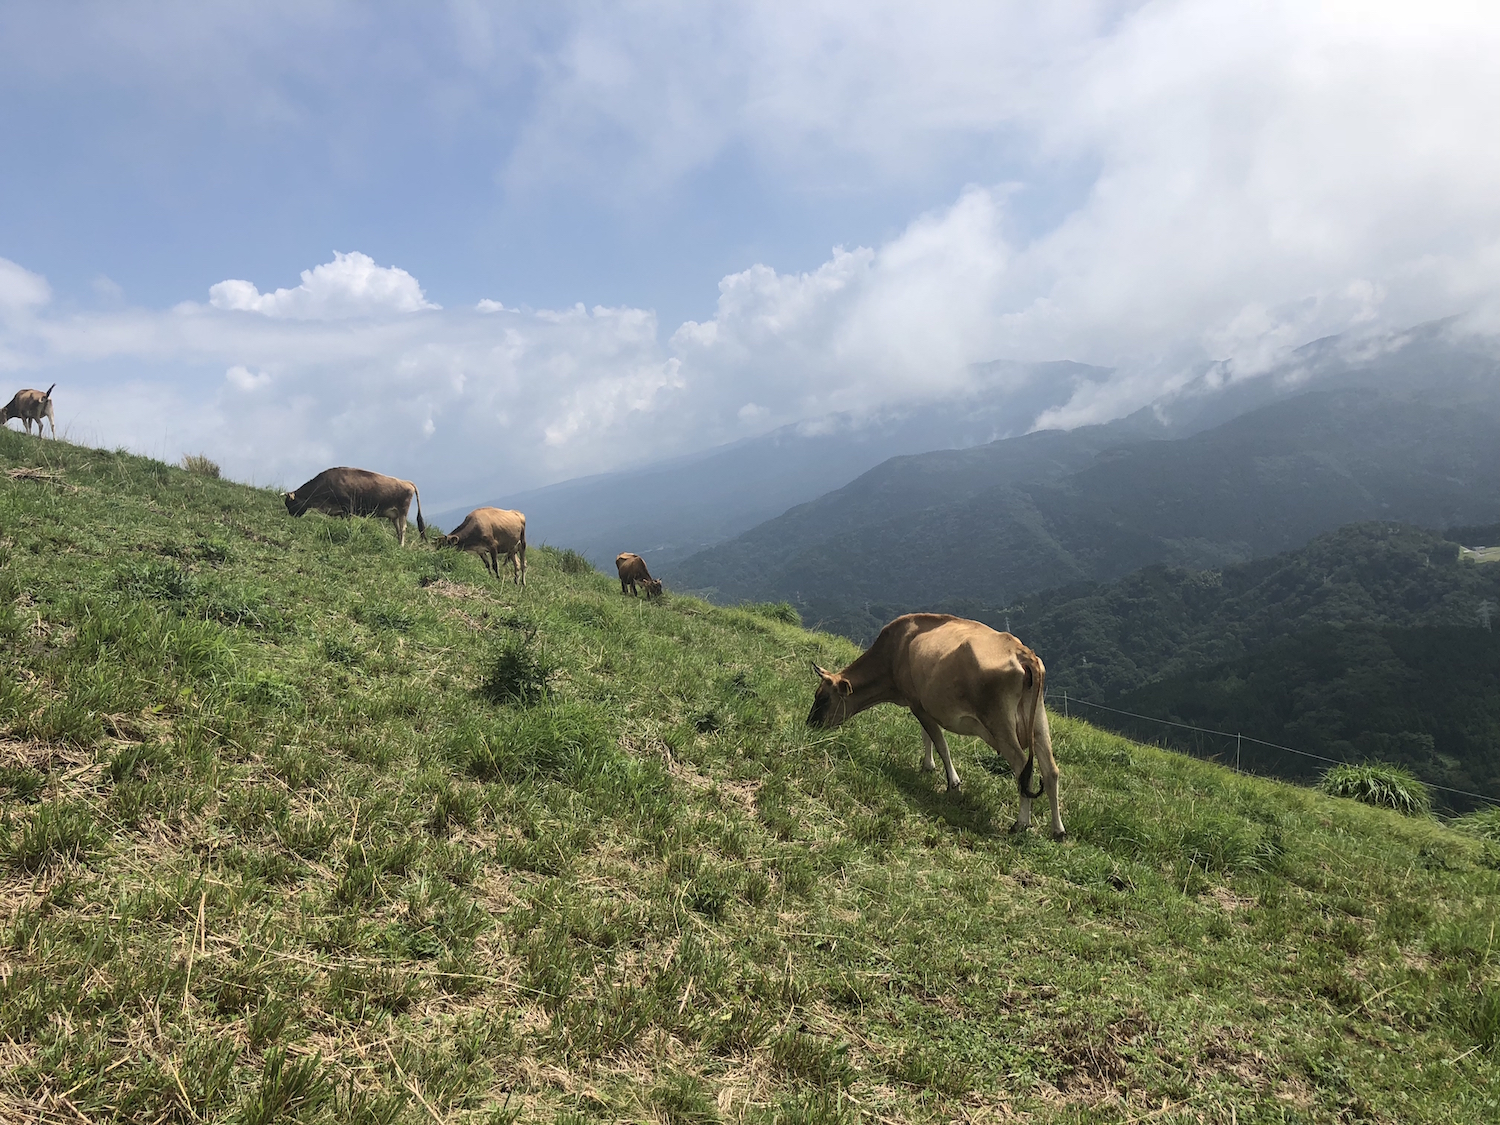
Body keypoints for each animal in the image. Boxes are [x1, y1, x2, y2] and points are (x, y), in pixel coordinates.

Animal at [283, 459, 426, 543]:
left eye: (290, 503)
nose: (291, 516)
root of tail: (407, 482)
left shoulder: (348, 508)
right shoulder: (342, 512)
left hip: (403, 511)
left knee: (403, 528)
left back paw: (401, 545)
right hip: (394, 515)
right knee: (398, 529)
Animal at [810, 618, 1068, 840]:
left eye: (823, 698)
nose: (810, 724)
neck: (894, 652)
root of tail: (1023, 653)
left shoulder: (916, 703)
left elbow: (940, 742)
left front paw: (953, 782)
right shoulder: (923, 705)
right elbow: (928, 737)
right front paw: (928, 766)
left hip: (999, 724)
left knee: (1023, 768)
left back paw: (1021, 823)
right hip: (1039, 723)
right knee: (1051, 770)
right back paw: (1058, 830)